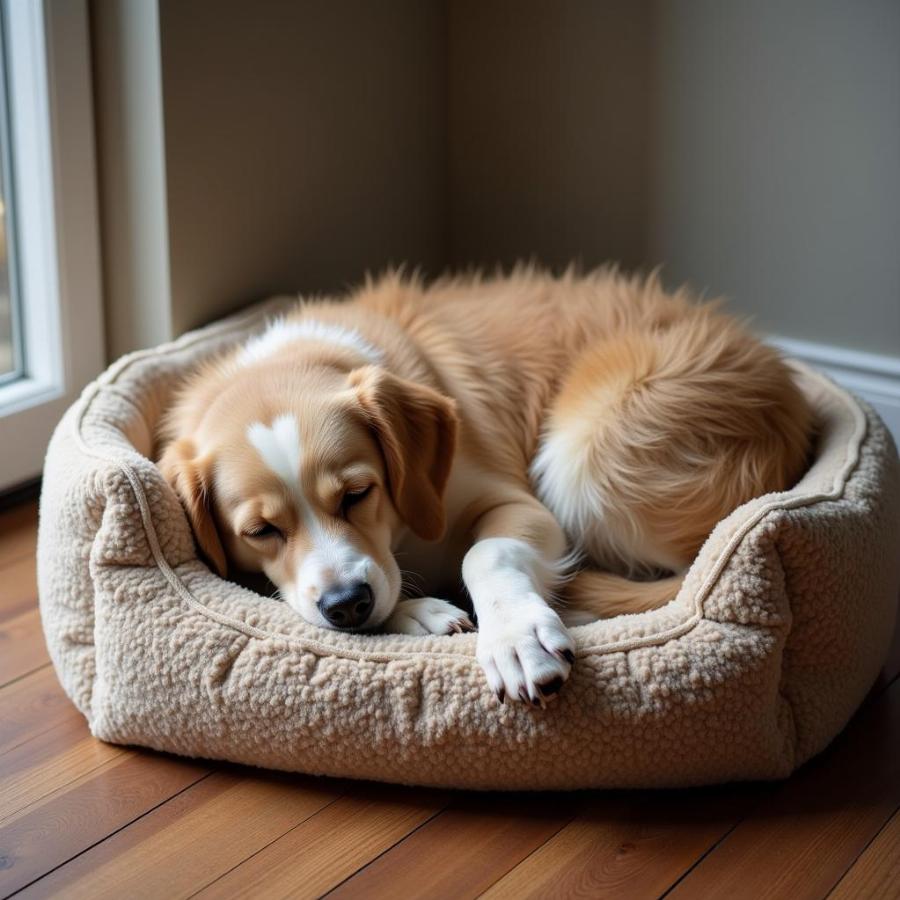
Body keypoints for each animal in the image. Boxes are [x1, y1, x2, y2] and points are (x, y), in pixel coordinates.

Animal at [158, 268, 812, 704]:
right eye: (261, 530)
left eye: (357, 494)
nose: (348, 605)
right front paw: (421, 614)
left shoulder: (519, 505)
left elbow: (485, 553)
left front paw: (515, 637)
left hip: (586, 454)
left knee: (678, 569)